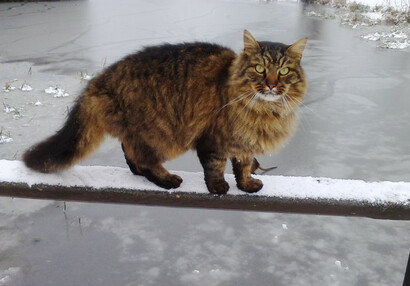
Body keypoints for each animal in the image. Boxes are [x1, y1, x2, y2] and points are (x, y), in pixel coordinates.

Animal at [22, 30, 306, 194]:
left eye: (283, 71)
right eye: (260, 69)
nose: (272, 84)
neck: (265, 111)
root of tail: (100, 80)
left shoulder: (245, 144)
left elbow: (244, 166)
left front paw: (246, 184)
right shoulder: (212, 140)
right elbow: (216, 167)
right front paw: (218, 187)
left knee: (130, 152)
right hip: (159, 135)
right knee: (143, 159)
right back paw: (165, 179)